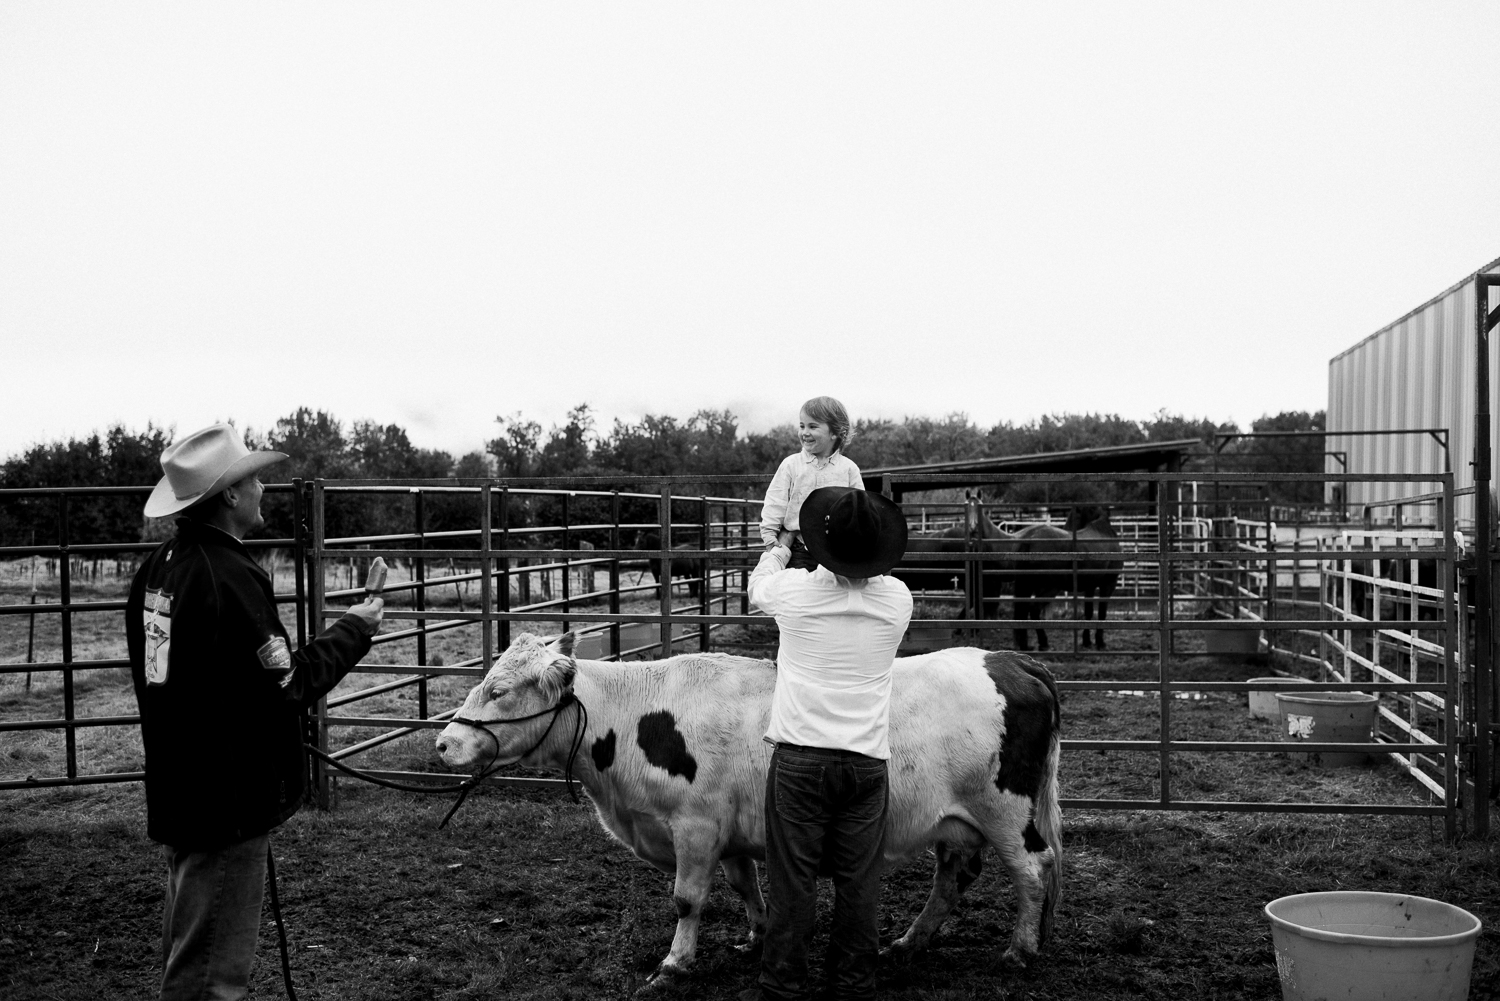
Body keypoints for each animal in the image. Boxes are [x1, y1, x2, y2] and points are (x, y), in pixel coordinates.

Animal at [438, 633, 1068, 984]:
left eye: (498, 690)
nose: (445, 743)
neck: (638, 714)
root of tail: (1011, 662)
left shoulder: (694, 826)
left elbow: (687, 900)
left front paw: (674, 964)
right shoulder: (729, 831)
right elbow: (744, 885)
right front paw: (757, 935)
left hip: (1006, 813)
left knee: (1033, 871)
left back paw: (1019, 950)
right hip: (957, 823)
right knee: (952, 880)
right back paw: (909, 943)